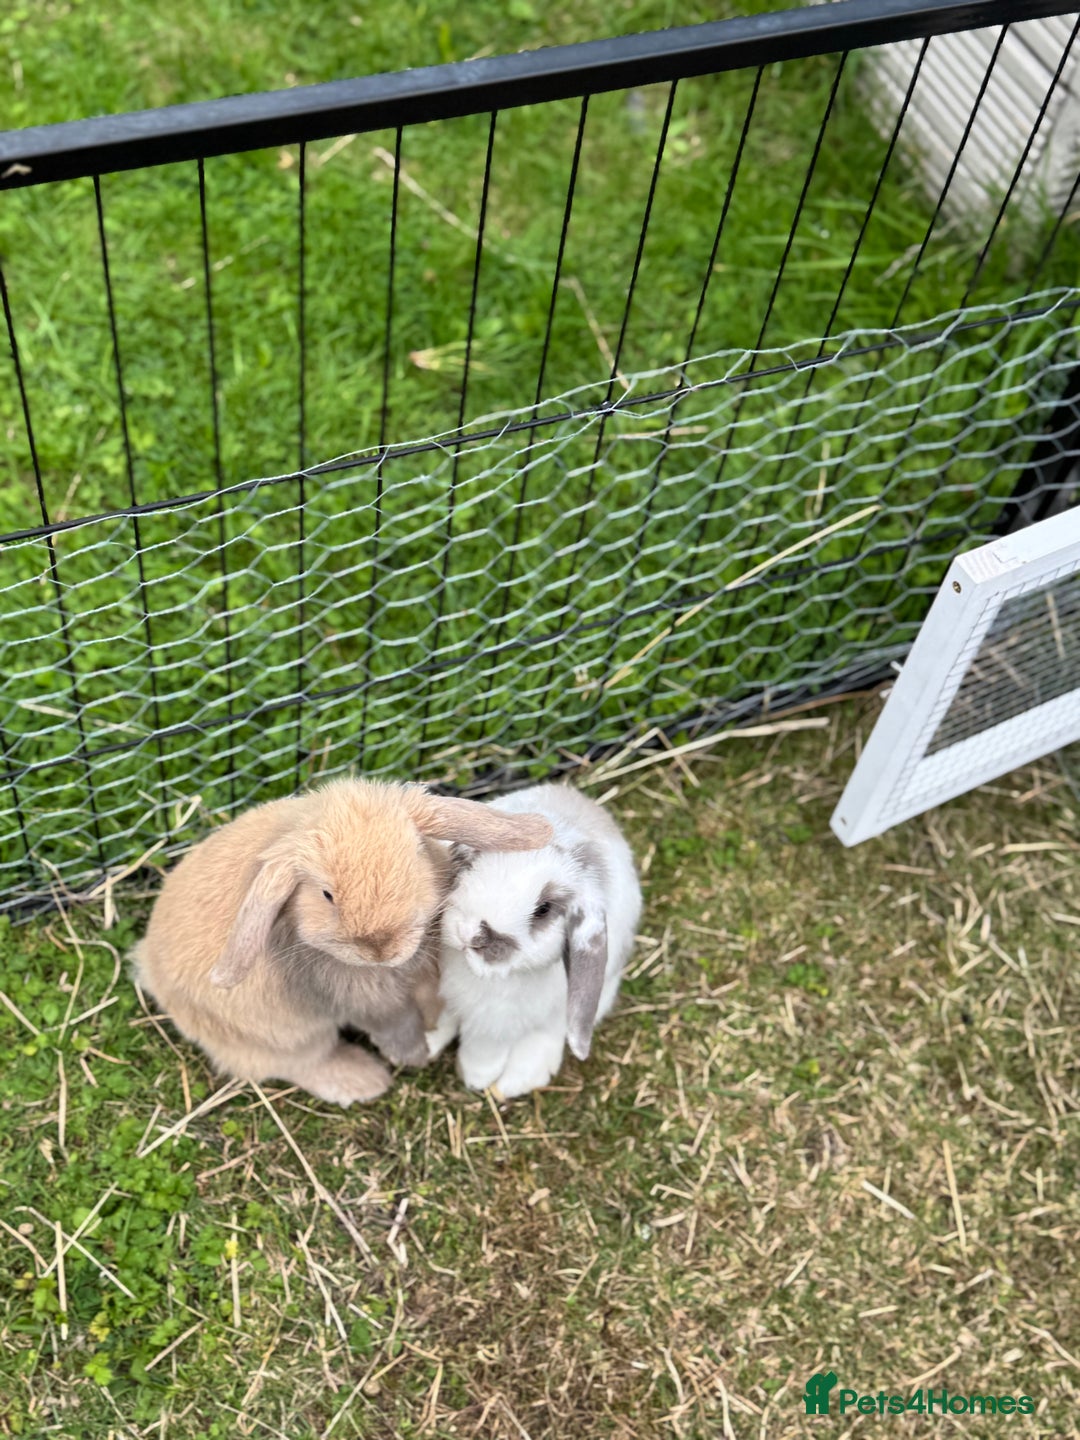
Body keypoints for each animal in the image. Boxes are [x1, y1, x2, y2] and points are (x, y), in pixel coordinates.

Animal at [132, 779, 553, 1106]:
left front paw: (436, 1024)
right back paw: (364, 1081)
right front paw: (415, 1057)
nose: (381, 948)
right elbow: (395, 1025)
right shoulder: (365, 1001)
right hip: (283, 1037)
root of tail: (148, 966)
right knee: (301, 1063)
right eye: (326, 894)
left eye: (416, 856)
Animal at [428, 783, 641, 1098]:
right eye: (473, 861)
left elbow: (485, 1048)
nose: (470, 933)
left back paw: (515, 1081)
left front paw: (477, 1079)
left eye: (544, 909)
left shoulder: (496, 1023)